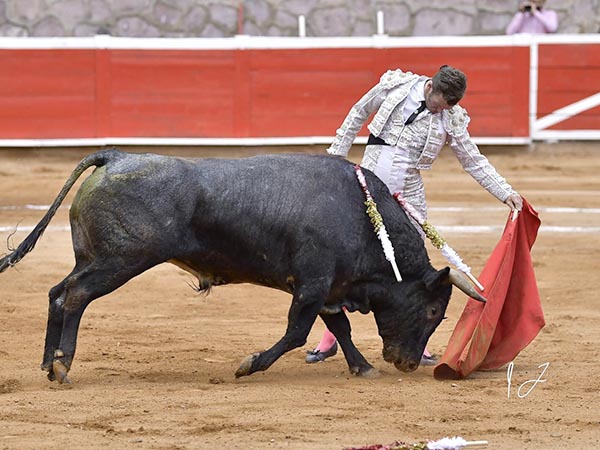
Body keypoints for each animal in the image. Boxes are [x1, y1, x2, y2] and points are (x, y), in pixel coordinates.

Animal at [0, 150, 482, 384]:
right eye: (433, 311)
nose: (407, 363)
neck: (364, 216)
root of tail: (115, 157)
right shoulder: (313, 285)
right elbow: (296, 333)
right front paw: (248, 365)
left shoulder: (327, 288)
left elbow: (339, 328)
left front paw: (362, 367)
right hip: (119, 262)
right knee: (75, 296)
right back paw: (62, 365)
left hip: (93, 258)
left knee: (57, 293)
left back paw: (48, 363)